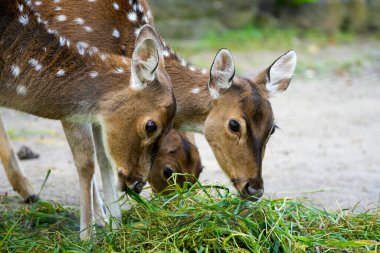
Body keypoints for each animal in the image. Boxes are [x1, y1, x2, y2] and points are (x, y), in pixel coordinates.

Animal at [0, 0, 175, 239]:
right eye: (151, 125)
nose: (138, 184)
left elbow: (101, 159)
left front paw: (114, 227)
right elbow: (86, 161)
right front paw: (87, 236)